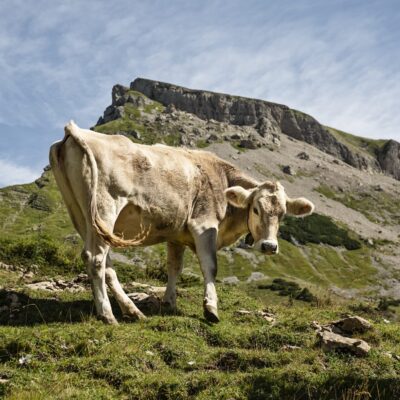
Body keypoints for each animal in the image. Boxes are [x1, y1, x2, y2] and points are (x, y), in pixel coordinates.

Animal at [48, 120, 314, 324]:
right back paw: (107, 314)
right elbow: (210, 267)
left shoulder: (176, 235)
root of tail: (75, 131)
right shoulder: (204, 225)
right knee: (96, 259)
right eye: (256, 209)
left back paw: (132, 311)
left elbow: (174, 267)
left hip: (83, 217)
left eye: (283, 214)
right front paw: (211, 309)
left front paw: (169, 302)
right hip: (105, 208)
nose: (269, 246)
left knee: (105, 263)